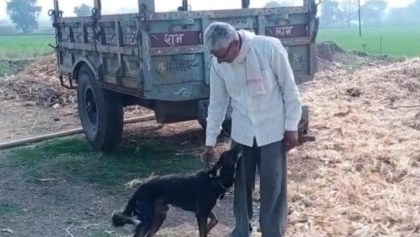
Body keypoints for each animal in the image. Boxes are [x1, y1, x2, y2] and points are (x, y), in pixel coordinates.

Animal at [111, 149, 240, 236]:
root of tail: (136, 193)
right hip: (148, 219)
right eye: (230, 154)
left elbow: (214, 221)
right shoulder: (201, 213)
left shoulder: (204, 211)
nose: (239, 146)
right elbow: (203, 232)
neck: (214, 179)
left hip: (160, 215)